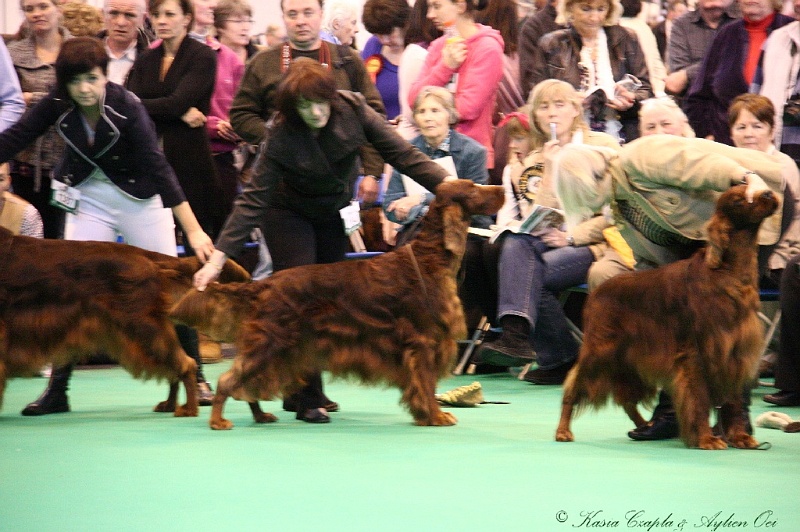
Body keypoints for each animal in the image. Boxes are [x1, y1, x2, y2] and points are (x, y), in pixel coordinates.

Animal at [171, 181, 504, 430]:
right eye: (473, 189)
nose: (502, 188)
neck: (428, 258)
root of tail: (264, 284)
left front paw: (427, 415)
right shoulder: (422, 342)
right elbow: (425, 384)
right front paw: (435, 415)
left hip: (279, 351)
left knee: (249, 385)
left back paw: (260, 415)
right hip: (270, 344)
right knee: (229, 380)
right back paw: (218, 421)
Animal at [552, 186, 780, 448]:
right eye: (738, 199)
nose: (769, 194)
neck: (727, 271)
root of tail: (597, 291)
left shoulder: (734, 351)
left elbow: (732, 400)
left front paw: (739, 436)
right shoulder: (697, 354)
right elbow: (699, 399)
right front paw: (706, 438)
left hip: (629, 360)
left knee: (625, 398)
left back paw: (645, 426)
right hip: (600, 351)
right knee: (573, 387)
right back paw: (563, 431)